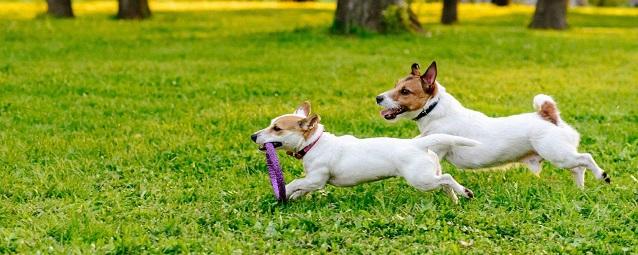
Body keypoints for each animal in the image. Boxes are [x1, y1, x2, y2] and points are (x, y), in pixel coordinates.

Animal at [252, 101, 482, 203]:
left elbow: (296, 183)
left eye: (277, 128)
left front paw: (286, 192)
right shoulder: (313, 181)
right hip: (429, 175)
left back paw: (465, 192)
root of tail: (419, 144)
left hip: (421, 179)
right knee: (444, 182)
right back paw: (455, 199)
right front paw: (294, 197)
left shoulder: (317, 178)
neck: (314, 143)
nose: (253, 136)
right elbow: (303, 188)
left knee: (447, 177)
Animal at [378, 61, 612, 188]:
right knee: (578, 168)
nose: (378, 98)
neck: (435, 109)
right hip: (563, 157)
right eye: (395, 85)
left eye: (405, 91)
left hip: (558, 154)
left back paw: (602, 175)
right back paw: (580, 189)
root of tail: (548, 116)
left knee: (586, 158)